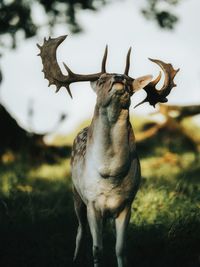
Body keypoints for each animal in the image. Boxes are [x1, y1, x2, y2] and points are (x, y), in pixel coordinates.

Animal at [38, 36, 180, 267]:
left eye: (130, 82)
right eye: (102, 79)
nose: (119, 77)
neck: (111, 174)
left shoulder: (127, 204)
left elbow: (120, 248)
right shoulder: (92, 203)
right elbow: (97, 248)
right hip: (76, 195)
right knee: (80, 230)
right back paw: (75, 258)